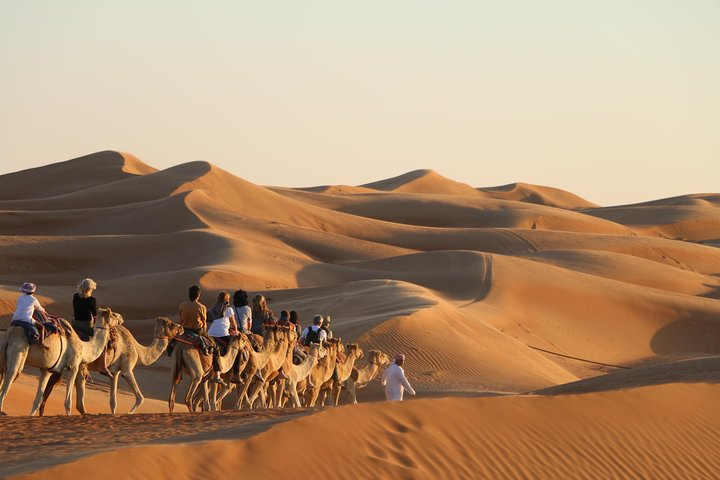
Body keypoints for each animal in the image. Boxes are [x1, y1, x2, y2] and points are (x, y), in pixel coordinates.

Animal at [37, 316, 184, 414]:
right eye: (171, 324)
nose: (181, 328)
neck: (138, 350)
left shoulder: (115, 372)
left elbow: (113, 402)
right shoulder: (127, 369)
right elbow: (140, 398)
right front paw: (128, 413)